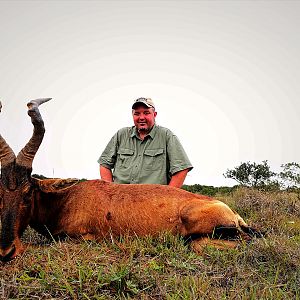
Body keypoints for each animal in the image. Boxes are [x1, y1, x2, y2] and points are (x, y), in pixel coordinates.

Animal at [0, 99, 258, 262]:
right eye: (1, 193)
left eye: (28, 192)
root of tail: (233, 212)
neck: (69, 197)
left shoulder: (85, 239)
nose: (6, 252)